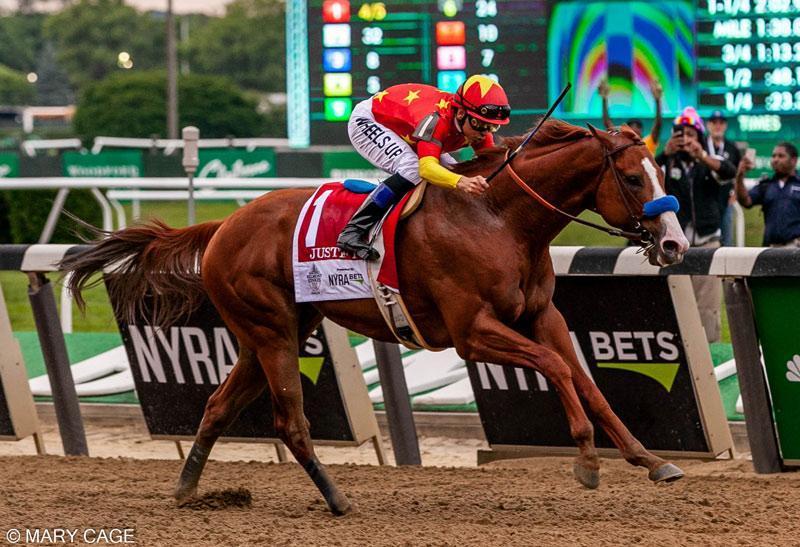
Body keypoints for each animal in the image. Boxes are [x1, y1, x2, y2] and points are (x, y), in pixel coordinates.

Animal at [61, 119, 688, 512]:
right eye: (635, 178)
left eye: (662, 173)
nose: (676, 244)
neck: (499, 219)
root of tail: (222, 226)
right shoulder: (472, 333)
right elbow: (556, 371)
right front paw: (587, 460)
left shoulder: (540, 317)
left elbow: (586, 380)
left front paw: (649, 459)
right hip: (270, 331)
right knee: (290, 422)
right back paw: (337, 500)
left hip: (274, 332)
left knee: (217, 405)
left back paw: (187, 489)